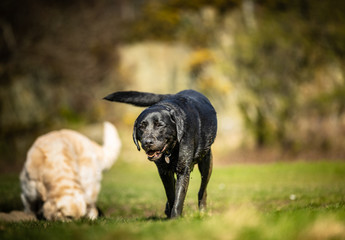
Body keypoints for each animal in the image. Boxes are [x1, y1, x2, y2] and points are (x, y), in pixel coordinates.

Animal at [102, 89, 216, 218]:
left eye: (160, 125)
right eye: (141, 126)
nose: (147, 142)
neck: (170, 151)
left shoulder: (183, 170)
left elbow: (179, 197)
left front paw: (175, 218)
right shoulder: (164, 172)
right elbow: (171, 195)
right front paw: (171, 214)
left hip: (206, 163)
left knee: (202, 189)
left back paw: (202, 210)